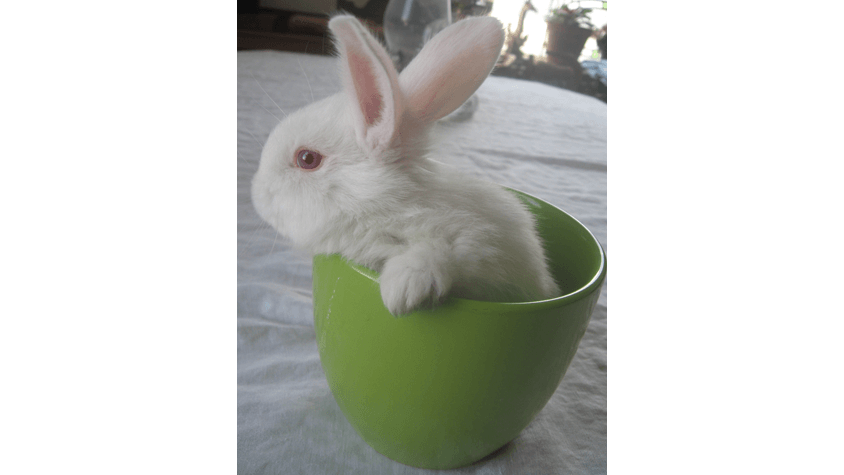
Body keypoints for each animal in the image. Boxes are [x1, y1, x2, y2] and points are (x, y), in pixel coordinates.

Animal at [251, 14, 561, 316]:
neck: (391, 206)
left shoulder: (479, 244)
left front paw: (402, 292)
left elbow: (438, 251)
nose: (256, 194)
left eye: (307, 159)